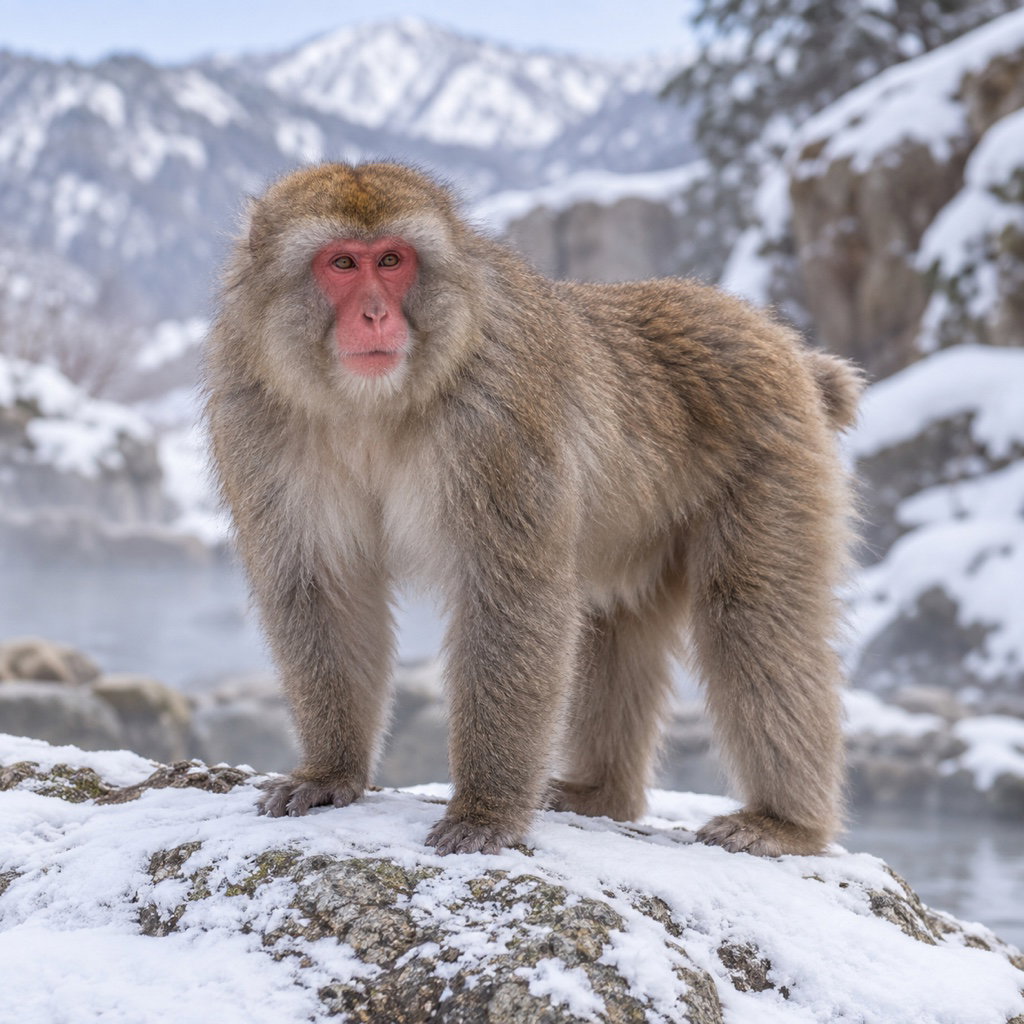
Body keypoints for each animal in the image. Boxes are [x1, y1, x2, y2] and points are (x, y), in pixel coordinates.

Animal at [204, 161, 863, 858]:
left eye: (390, 260)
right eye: (341, 263)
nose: (377, 313)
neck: (372, 405)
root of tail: (782, 341)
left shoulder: (498, 419)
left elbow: (511, 596)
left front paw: (486, 809)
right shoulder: (254, 417)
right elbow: (322, 588)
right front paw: (331, 772)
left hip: (776, 461)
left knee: (753, 615)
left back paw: (785, 821)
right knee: (614, 618)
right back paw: (602, 794)